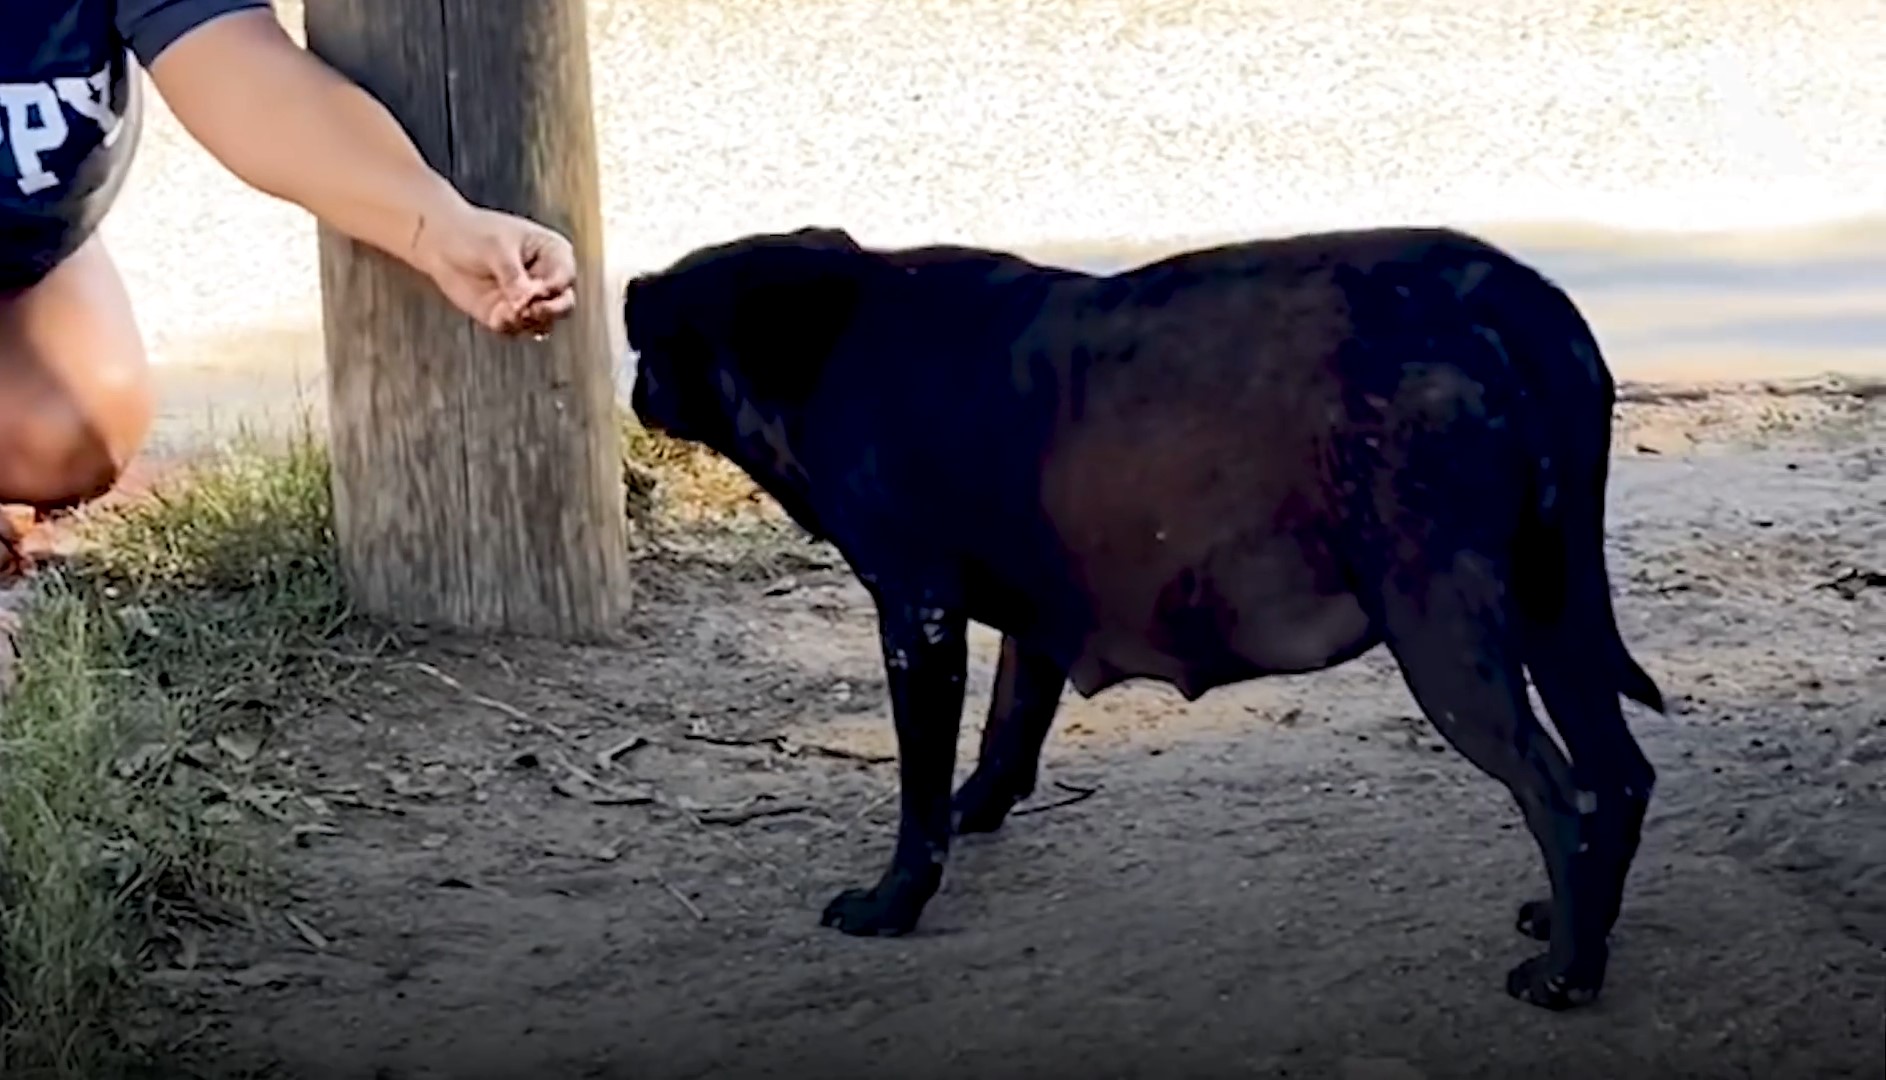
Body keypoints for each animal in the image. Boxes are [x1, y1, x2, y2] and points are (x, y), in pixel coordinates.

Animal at [622, 227, 1667, 1010]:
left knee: (1557, 793)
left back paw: (1568, 973)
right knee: (1617, 777)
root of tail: (1514, 299)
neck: (833, 330)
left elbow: (920, 792)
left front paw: (895, 898)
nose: (627, 358)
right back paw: (1586, 922)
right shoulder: (1027, 626)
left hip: (1445, 631)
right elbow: (1005, 735)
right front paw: (976, 810)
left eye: (649, 342)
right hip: (1557, 616)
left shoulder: (918, 616)